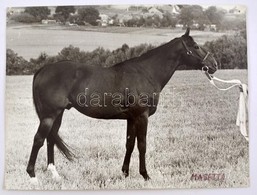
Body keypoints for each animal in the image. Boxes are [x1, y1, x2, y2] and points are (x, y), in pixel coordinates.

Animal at [26, 28, 216, 182]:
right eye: (196, 46)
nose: (213, 64)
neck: (146, 73)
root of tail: (43, 70)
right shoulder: (142, 116)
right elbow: (142, 145)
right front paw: (145, 175)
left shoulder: (131, 118)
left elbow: (129, 144)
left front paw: (125, 173)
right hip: (49, 115)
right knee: (38, 139)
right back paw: (32, 177)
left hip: (58, 115)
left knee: (50, 139)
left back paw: (54, 175)